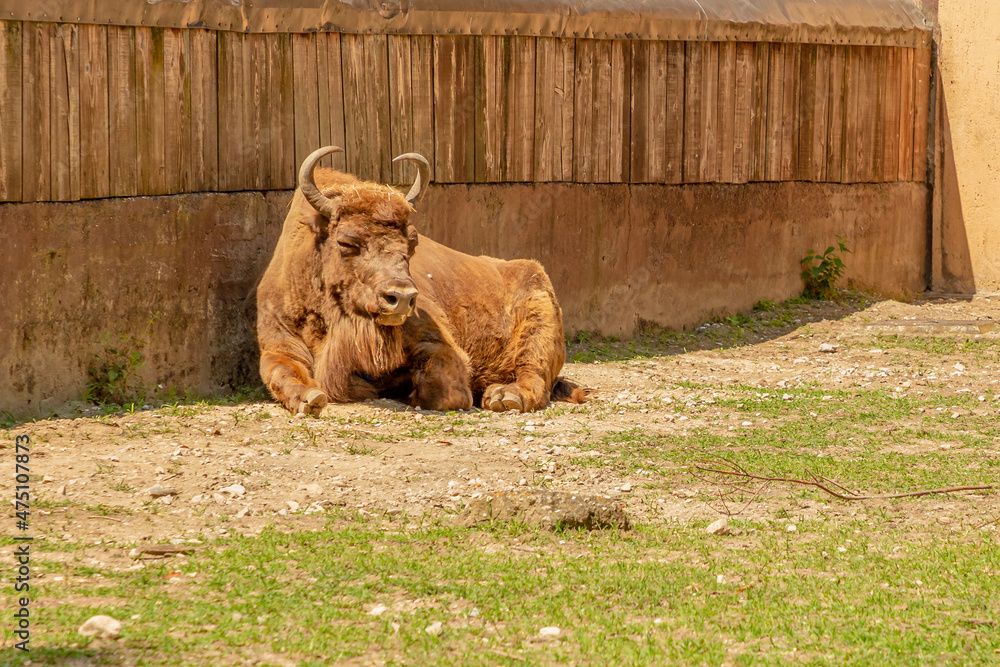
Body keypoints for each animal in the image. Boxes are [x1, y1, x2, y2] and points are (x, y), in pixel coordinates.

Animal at [255, 146, 584, 416]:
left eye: (412, 242)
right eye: (346, 242)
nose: (401, 298)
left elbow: (442, 387)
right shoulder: (278, 343)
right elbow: (281, 372)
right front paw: (309, 398)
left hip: (539, 322)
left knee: (533, 374)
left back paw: (504, 397)